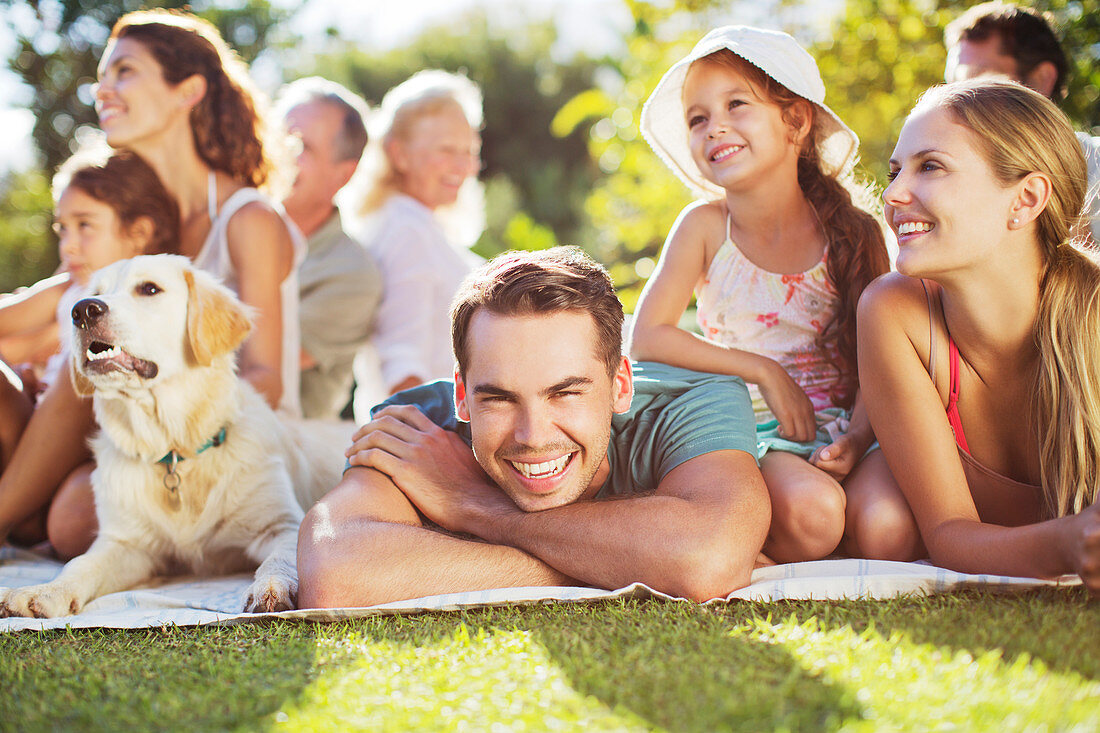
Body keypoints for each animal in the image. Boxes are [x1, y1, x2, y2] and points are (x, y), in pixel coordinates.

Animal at [0, 254, 343, 611]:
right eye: (94, 292)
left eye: (149, 289)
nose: (82, 311)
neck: (175, 449)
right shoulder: (127, 543)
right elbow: (80, 564)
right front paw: (44, 591)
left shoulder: (280, 524)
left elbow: (281, 558)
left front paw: (271, 587)